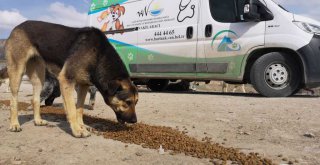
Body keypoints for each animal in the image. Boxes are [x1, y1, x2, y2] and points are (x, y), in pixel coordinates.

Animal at [5, 20, 138, 138]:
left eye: (136, 102)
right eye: (128, 102)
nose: (135, 121)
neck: (99, 55)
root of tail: (17, 27)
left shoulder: (83, 85)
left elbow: (79, 109)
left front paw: (82, 126)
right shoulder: (66, 80)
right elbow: (72, 110)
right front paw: (77, 130)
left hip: (39, 78)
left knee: (35, 99)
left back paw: (37, 120)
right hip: (17, 71)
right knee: (13, 99)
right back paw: (14, 124)